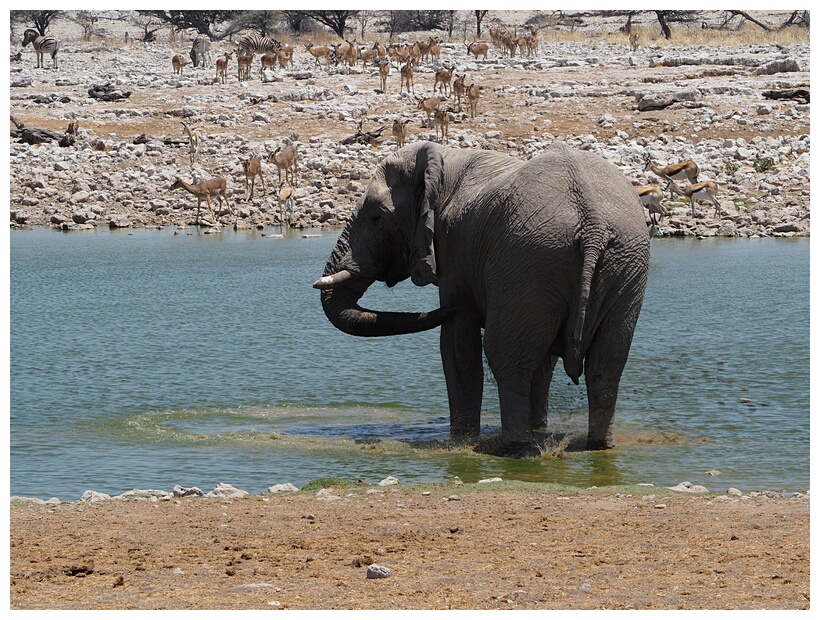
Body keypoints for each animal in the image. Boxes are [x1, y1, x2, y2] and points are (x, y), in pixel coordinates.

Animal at [318, 143, 652, 458]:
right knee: (606, 363)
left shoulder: (453, 251)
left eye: (377, 219)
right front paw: (537, 429)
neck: (444, 162)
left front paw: (461, 440)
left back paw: (518, 448)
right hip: (622, 265)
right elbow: (541, 359)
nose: (441, 309)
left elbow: (457, 345)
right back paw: (596, 446)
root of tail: (593, 224)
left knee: (505, 355)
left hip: (531, 258)